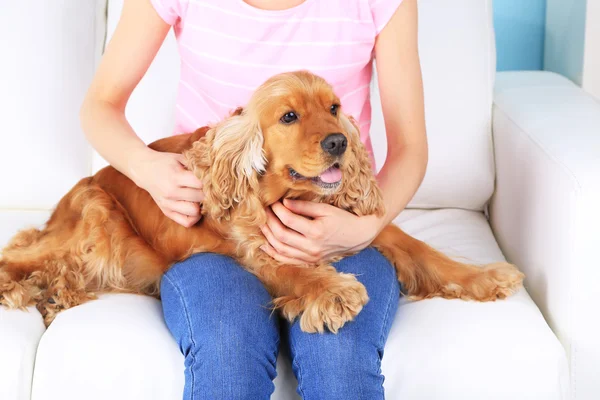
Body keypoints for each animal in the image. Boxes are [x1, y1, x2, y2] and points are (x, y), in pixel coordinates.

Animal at [0, 71, 524, 332]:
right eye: (289, 116)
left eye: (334, 108)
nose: (339, 141)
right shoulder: (256, 248)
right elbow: (293, 270)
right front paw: (334, 291)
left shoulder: (361, 224)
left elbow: (425, 252)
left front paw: (486, 276)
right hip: (96, 220)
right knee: (20, 256)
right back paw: (21, 290)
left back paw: (54, 296)